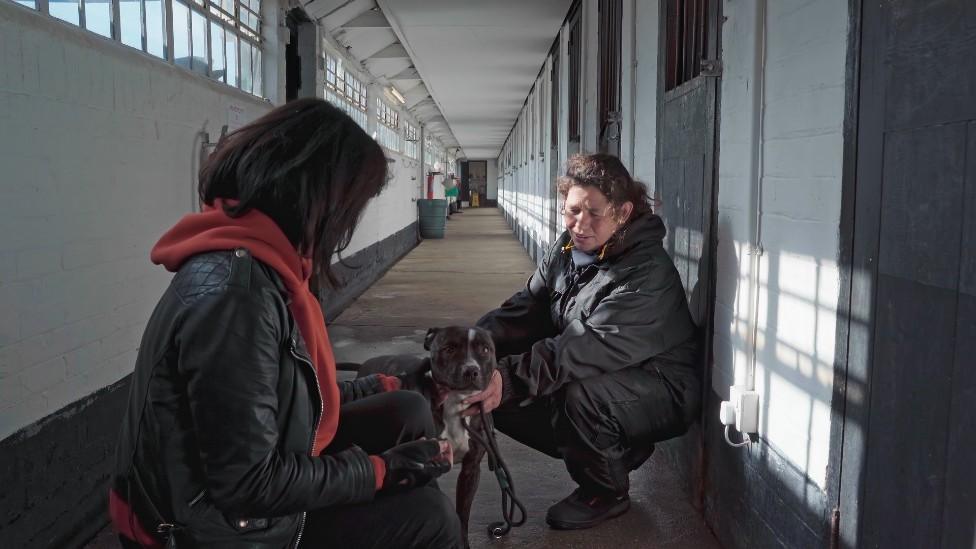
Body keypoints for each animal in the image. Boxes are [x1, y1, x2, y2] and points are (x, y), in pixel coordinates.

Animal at [354, 326, 496, 544]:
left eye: (485, 349)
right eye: (449, 349)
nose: (471, 370)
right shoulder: (430, 464)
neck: (455, 404)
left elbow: (463, 515)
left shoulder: (471, 469)